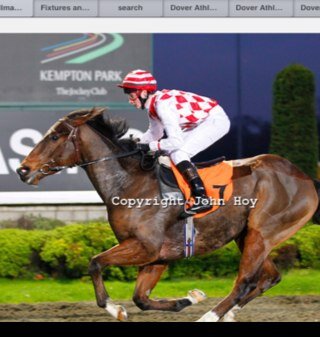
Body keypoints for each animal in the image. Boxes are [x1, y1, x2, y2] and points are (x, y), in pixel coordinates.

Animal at [16, 107, 318, 320]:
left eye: (54, 136)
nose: (22, 169)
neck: (130, 184)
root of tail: (304, 178)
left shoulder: (145, 247)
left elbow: (95, 263)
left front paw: (115, 309)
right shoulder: (157, 255)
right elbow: (141, 298)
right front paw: (191, 298)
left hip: (262, 233)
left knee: (245, 281)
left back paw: (210, 317)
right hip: (247, 236)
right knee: (270, 276)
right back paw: (229, 313)